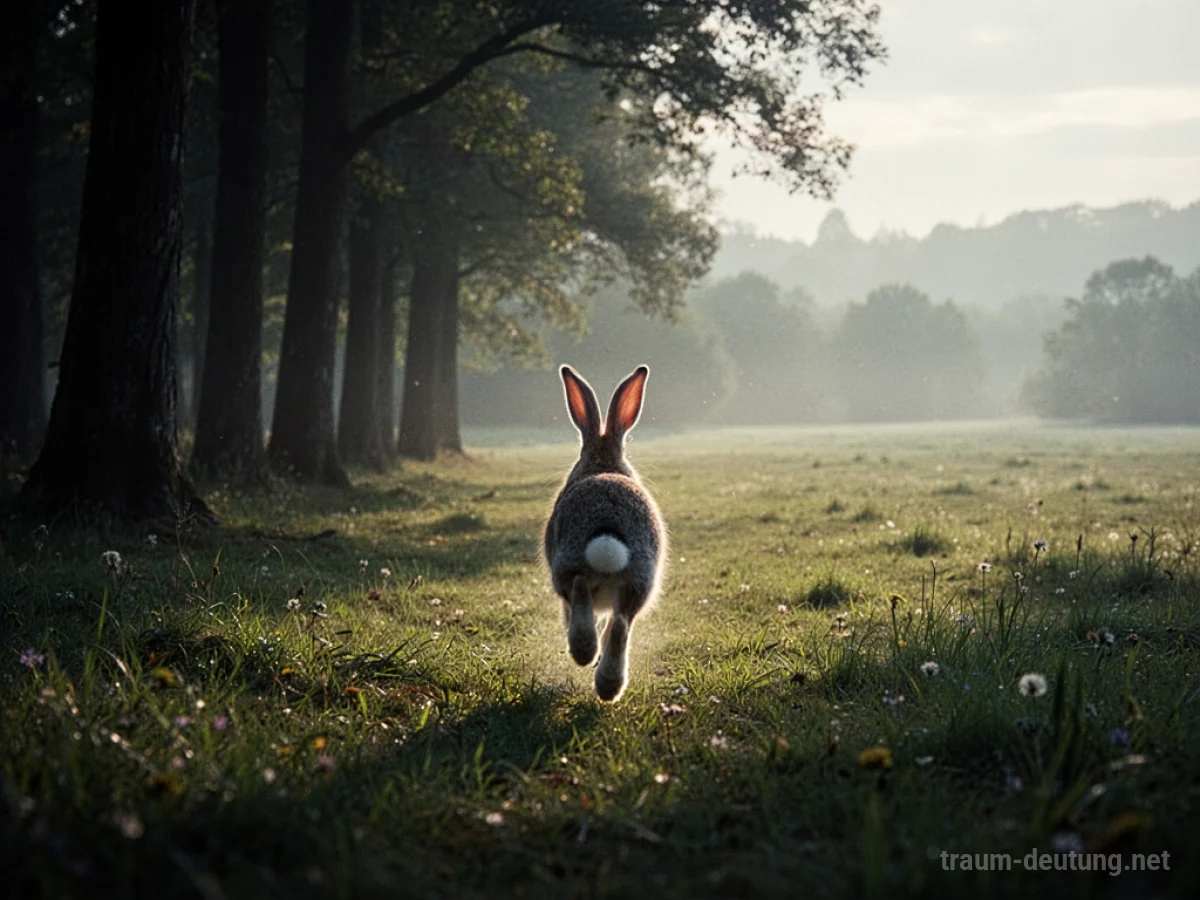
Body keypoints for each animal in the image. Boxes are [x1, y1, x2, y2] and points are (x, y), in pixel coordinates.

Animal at [543, 364, 668, 702]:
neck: (602, 463)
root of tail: (607, 530)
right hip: (640, 581)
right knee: (622, 624)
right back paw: (609, 685)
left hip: (566, 566)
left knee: (579, 596)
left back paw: (585, 654)